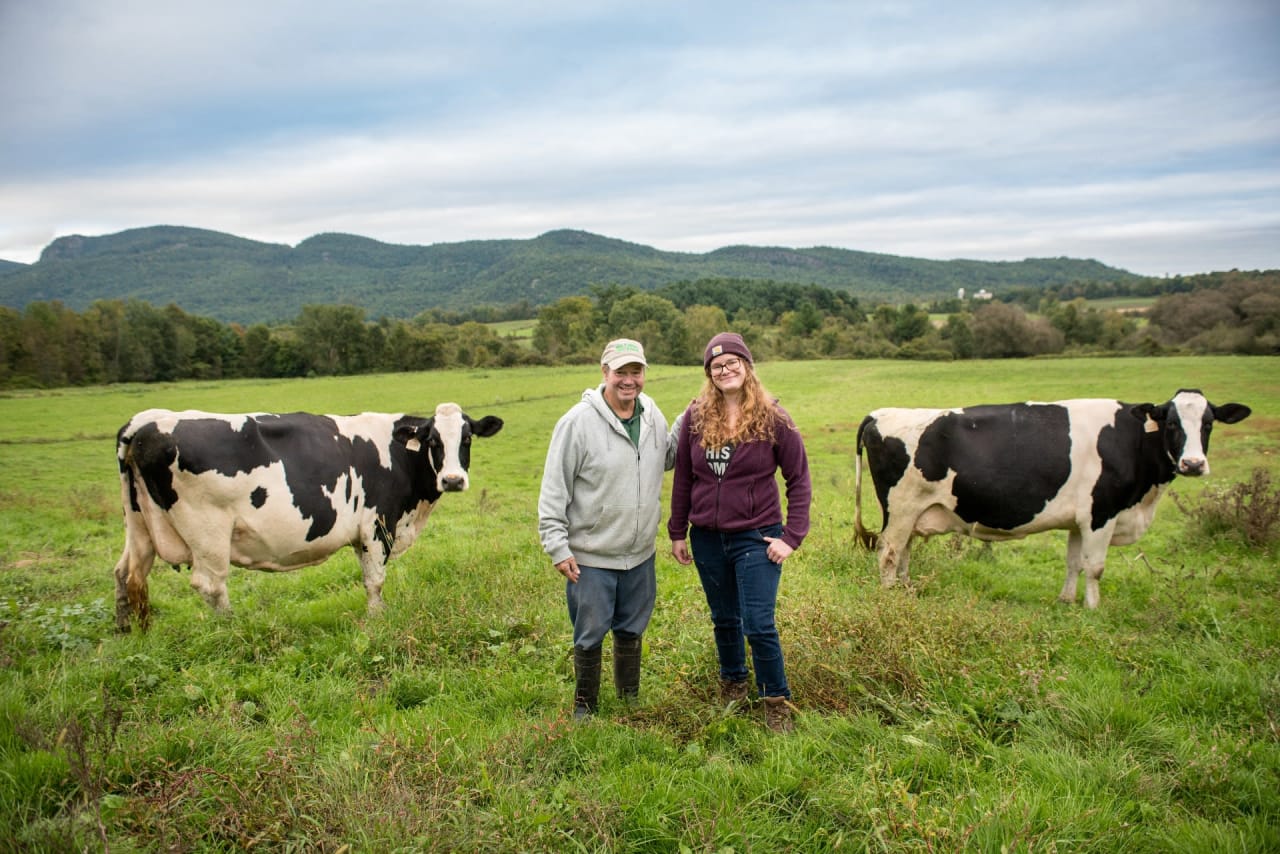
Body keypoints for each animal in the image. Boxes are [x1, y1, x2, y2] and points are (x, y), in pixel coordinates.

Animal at [115, 402, 501, 627]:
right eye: (433, 440)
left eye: (467, 438)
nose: (453, 480)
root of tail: (146, 422)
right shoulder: (377, 526)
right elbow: (375, 580)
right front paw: (377, 619)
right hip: (208, 531)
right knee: (210, 585)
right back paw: (231, 629)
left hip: (138, 524)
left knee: (128, 575)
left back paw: (132, 632)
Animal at [849, 386, 1249, 606]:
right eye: (1172, 424)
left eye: (1208, 423)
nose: (1193, 464)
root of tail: (879, 413)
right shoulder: (1102, 513)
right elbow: (1096, 566)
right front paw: (1093, 609)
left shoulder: (1079, 520)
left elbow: (1074, 563)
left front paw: (1067, 601)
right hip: (901, 508)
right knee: (888, 554)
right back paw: (891, 595)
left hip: (913, 512)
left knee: (903, 553)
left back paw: (906, 590)